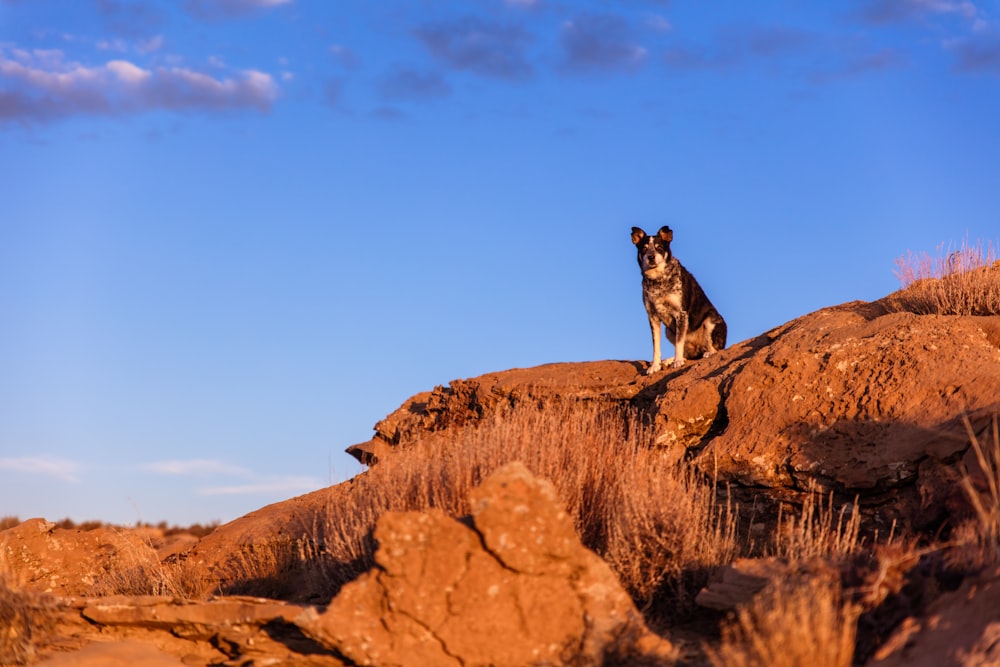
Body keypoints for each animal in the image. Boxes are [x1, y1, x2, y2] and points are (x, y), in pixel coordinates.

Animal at [632, 227, 728, 376]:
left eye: (659, 247)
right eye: (644, 248)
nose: (651, 257)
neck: (657, 280)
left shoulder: (681, 314)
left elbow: (679, 342)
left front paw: (677, 362)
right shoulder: (652, 317)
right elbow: (656, 346)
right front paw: (655, 366)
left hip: (710, 320)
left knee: (714, 348)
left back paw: (707, 353)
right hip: (668, 331)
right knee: (687, 354)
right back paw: (669, 360)